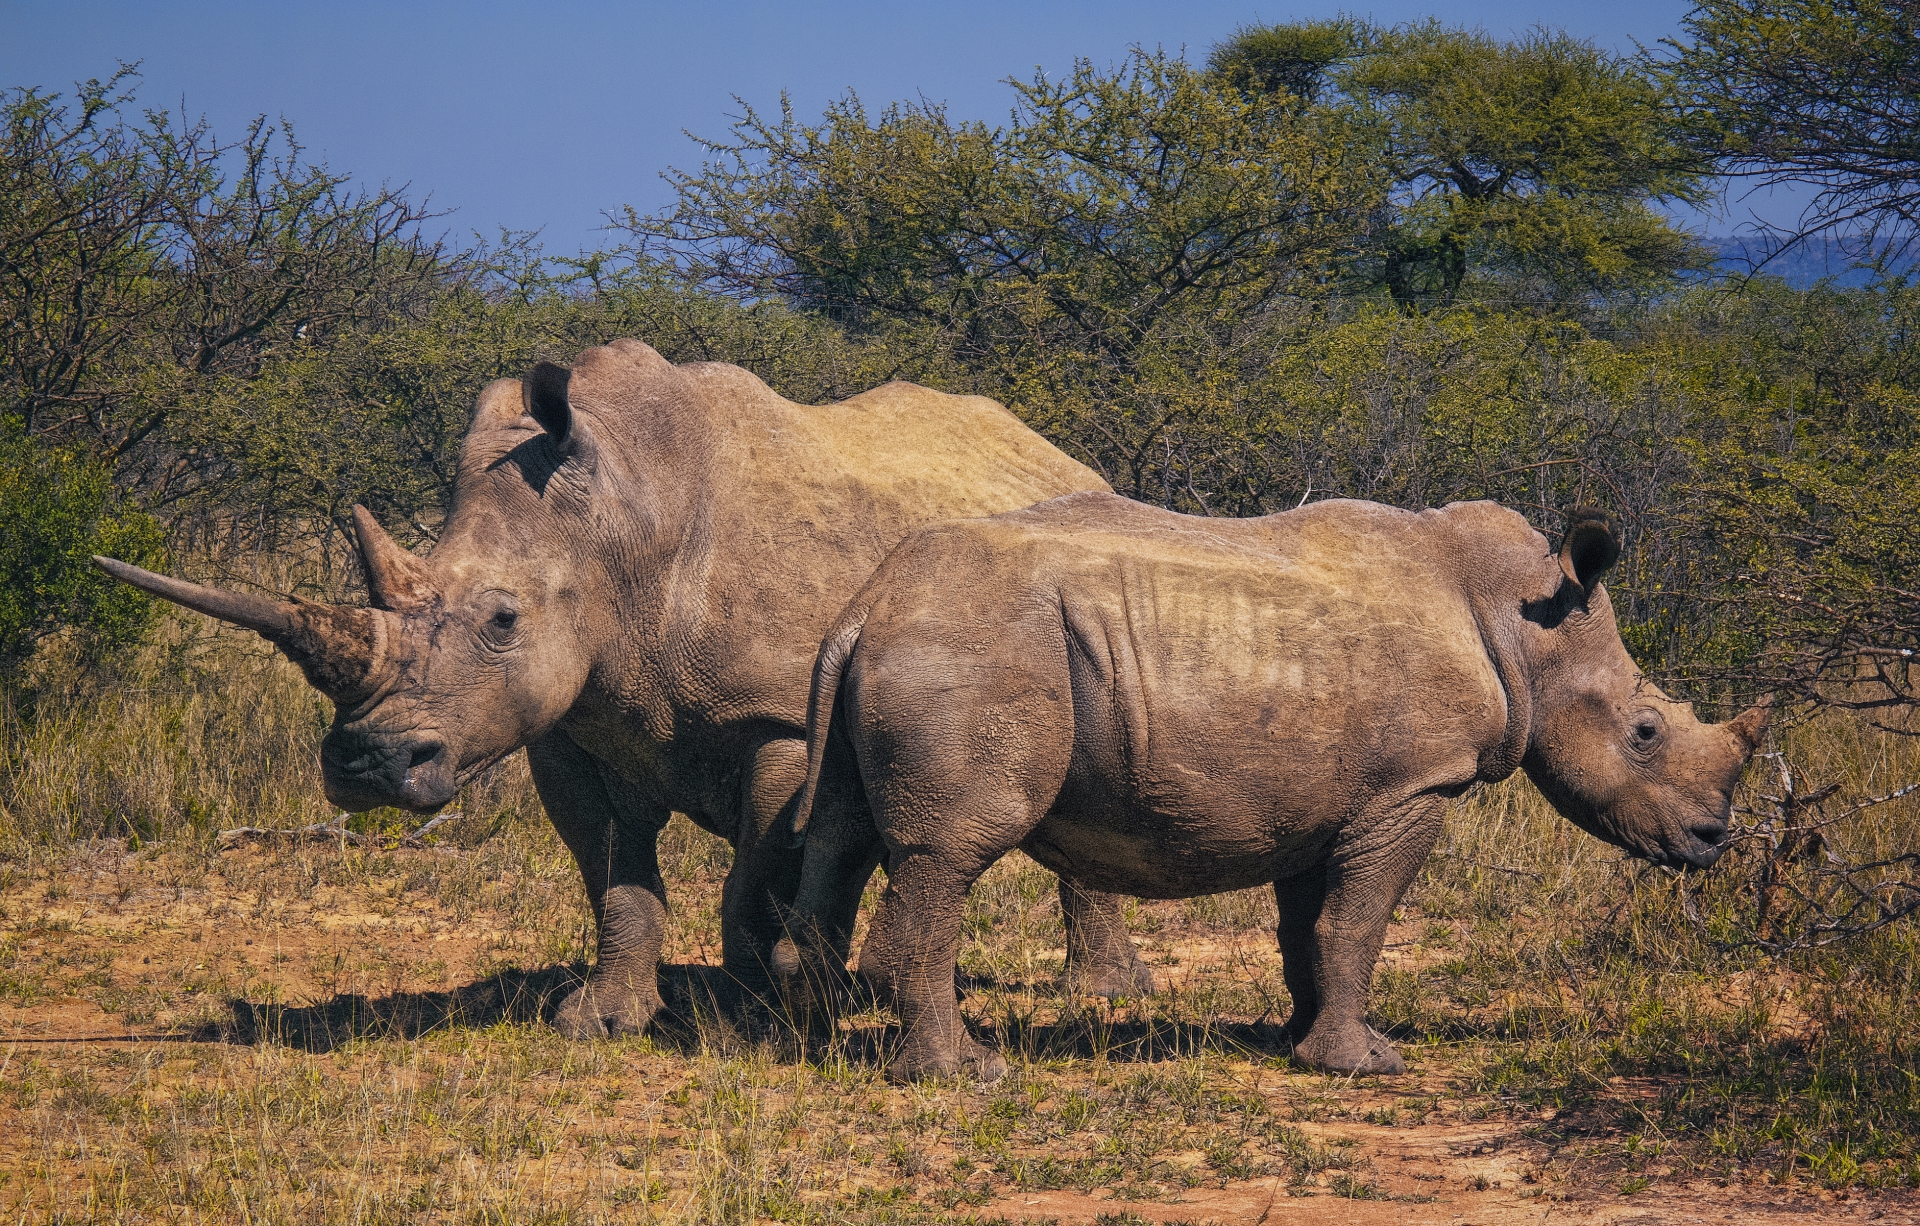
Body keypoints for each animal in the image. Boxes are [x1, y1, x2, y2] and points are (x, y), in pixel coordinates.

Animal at [94, 339, 1155, 1036]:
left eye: (503, 619)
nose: (364, 765)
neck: (613, 531)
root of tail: (1063, 453)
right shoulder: (563, 722)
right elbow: (612, 870)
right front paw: (603, 1019)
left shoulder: (776, 714)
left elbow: (756, 865)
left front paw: (752, 1005)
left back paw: (1100, 995)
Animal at [776, 493, 1770, 1081]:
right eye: (1646, 734)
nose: (1712, 840)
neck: (1526, 626)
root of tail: (866, 606)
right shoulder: (1413, 787)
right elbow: (1360, 922)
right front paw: (1367, 1066)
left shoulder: (1326, 794)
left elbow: (1310, 926)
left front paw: (1302, 1044)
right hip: (974, 653)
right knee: (951, 853)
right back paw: (964, 1074)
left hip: (909, 647)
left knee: (838, 837)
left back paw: (811, 1042)